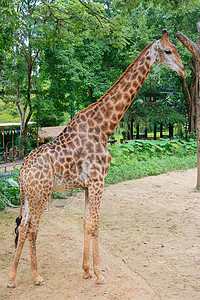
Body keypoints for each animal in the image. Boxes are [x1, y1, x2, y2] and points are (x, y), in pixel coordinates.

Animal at [7, 29, 186, 288]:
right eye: (168, 50)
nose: (183, 70)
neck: (104, 127)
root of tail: (20, 172)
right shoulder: (98, 180)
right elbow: (95, 224)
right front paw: (100, 275)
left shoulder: (87, 185)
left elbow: (86, 223)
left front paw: (86, 271)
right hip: (41, 193)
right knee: (31, 227)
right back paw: (35, 276)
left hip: (30, 195)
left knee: (22, 227)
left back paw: (13, 278)